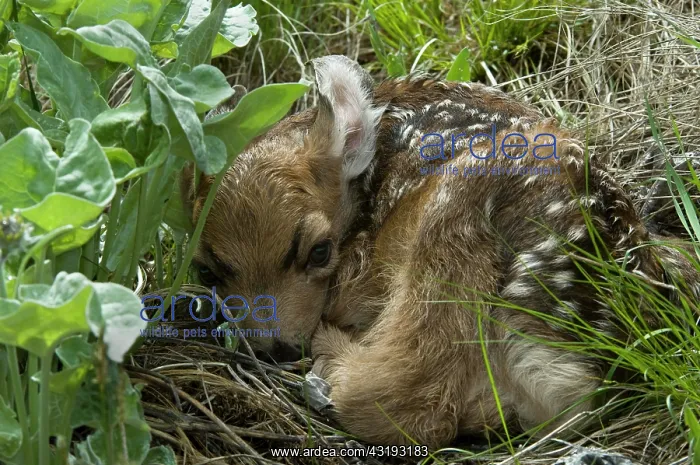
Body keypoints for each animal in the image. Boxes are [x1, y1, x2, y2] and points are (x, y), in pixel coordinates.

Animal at [180, 55, 700, 448]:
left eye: (319, 251)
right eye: (207, 272)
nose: (274, 348)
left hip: (455, 210)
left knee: (406, 399)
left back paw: (327, 365)